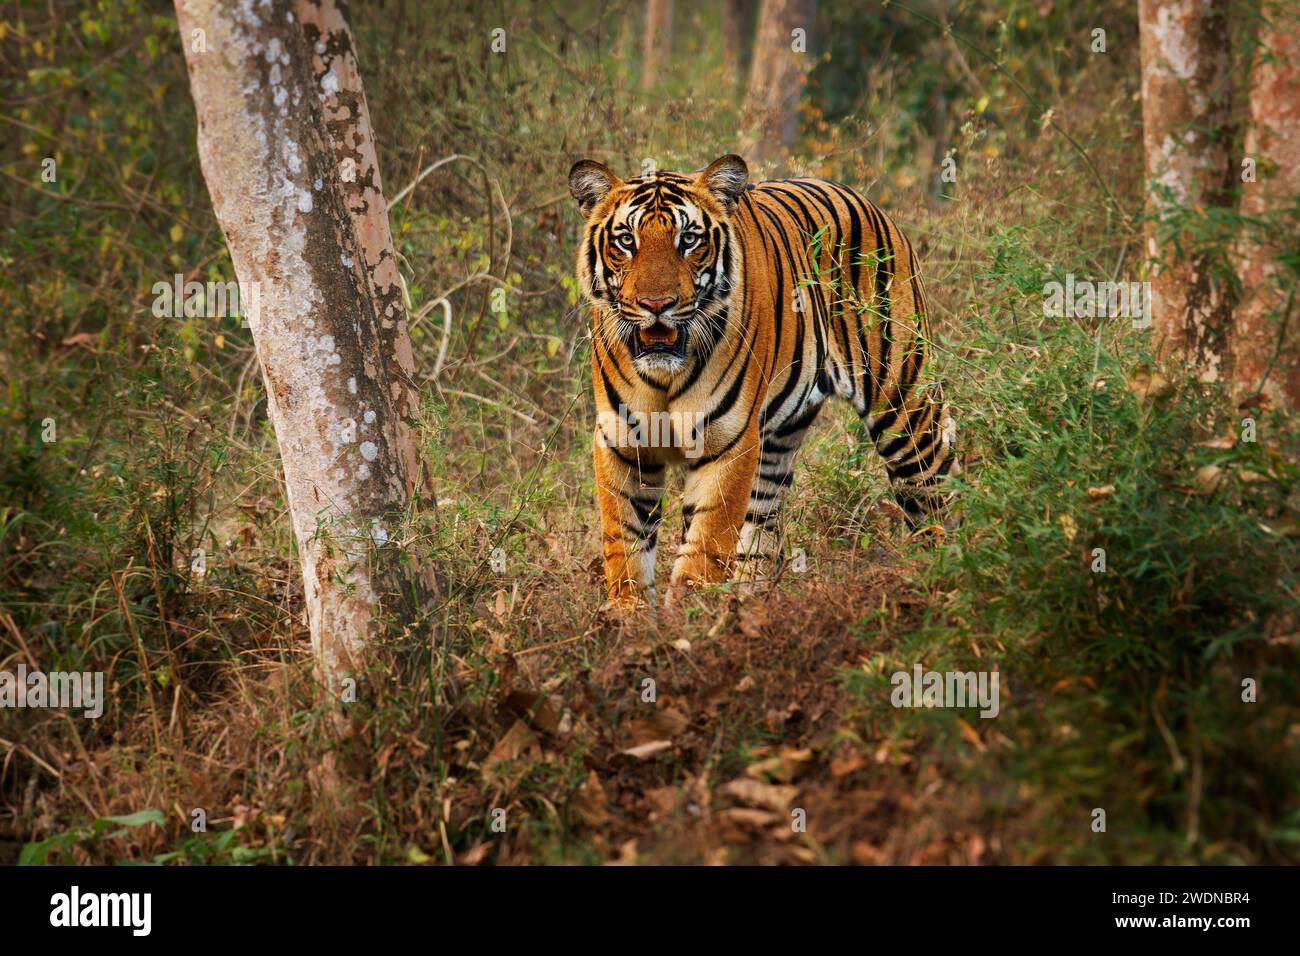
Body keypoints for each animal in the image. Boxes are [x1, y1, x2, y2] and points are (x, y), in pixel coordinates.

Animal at [568, 154, 955, 608]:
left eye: (689, 239)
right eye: (627, 240)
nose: (656, 304)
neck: (665, 373)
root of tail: (864, 199)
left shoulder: (727, 444)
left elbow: (704, 548)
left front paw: (688, 618)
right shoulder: (623, 445)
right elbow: (625, 548)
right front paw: (630, 617)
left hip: (904, 410)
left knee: (935, 490)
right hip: (777, 445)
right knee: (762, 530)